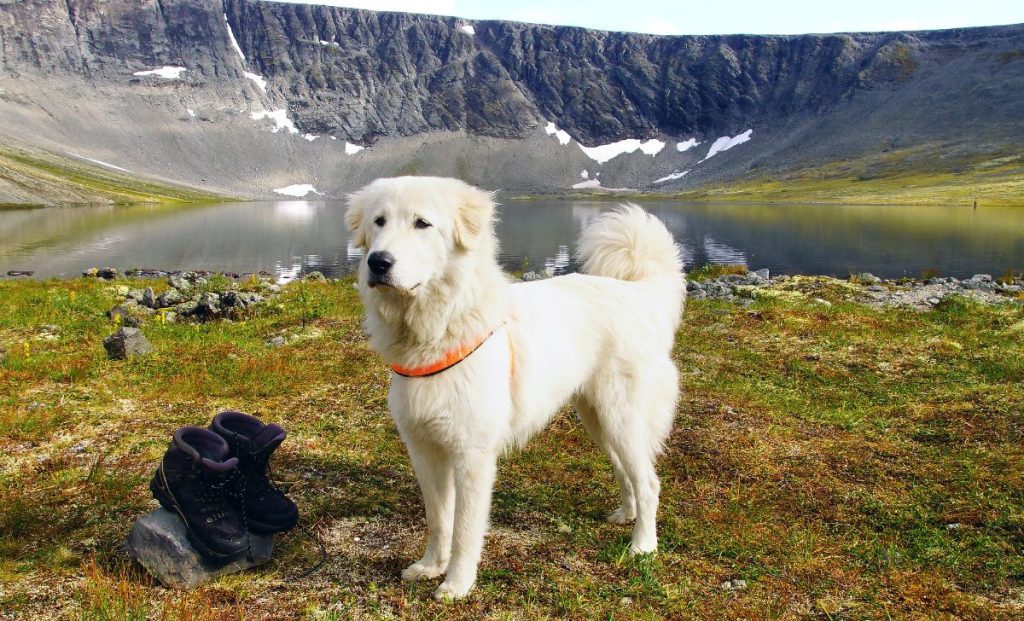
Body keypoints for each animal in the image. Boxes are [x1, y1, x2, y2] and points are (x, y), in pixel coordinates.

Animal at [346, 176, 688, 598]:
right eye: (379, 221)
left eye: (422, 223)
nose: (378, 262)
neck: (438, 329)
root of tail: (638, 294)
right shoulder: (424, 450)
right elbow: (438, 519)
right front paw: (430, 566)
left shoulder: (472, 456)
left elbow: (464, 529)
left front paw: (457, 583)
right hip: (598, 420)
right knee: (627, 473)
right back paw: (626, 515)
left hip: (621, 417)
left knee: (649, 482)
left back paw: (643, 545)